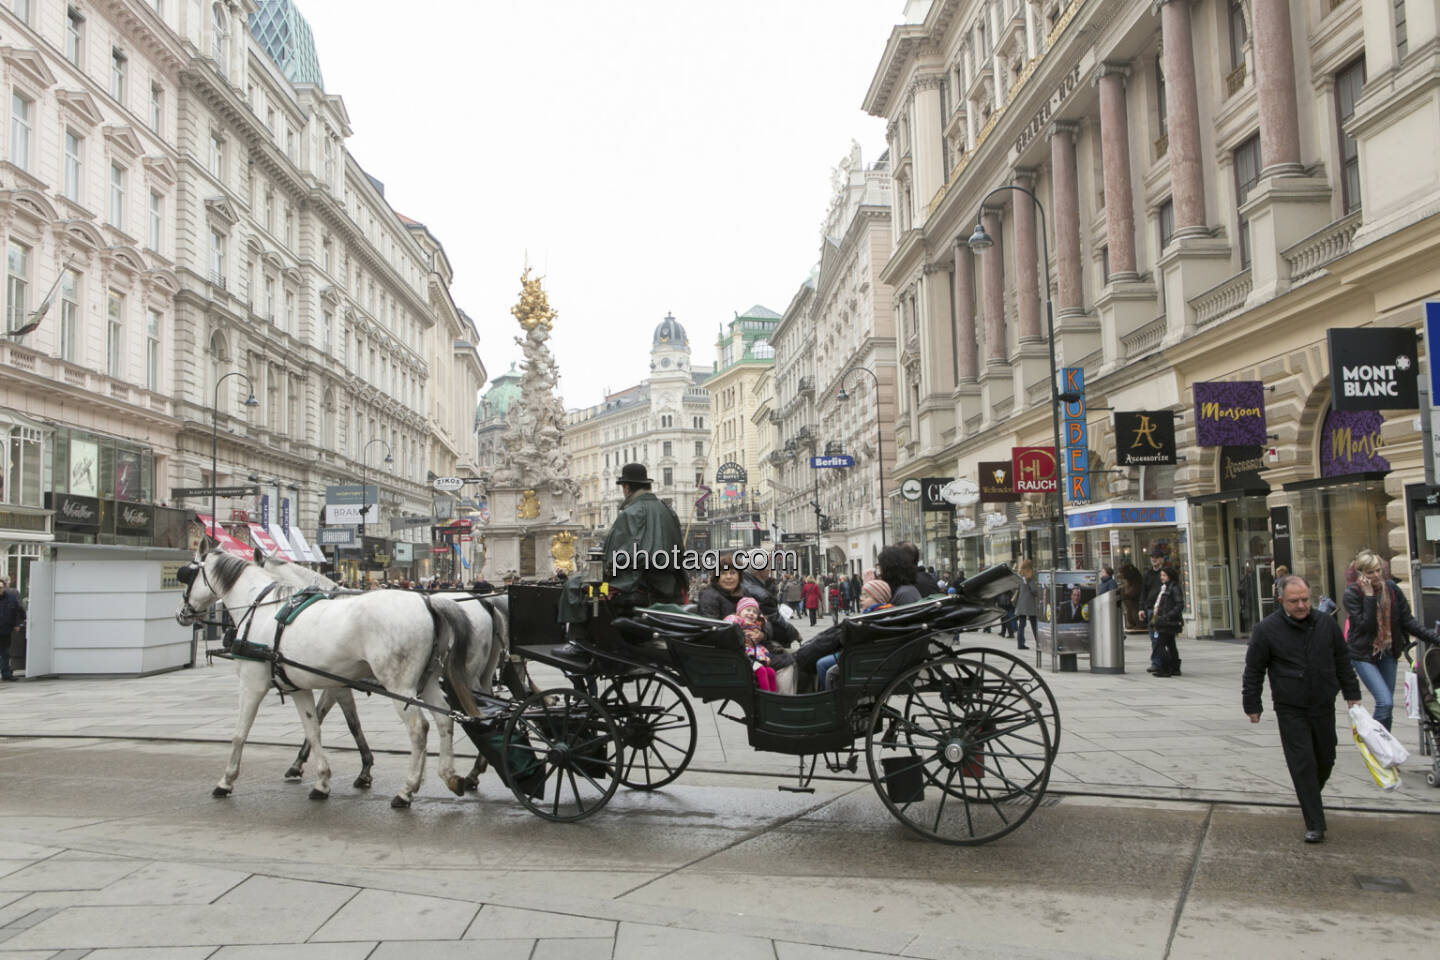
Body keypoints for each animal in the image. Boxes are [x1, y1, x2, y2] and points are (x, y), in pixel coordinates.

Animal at [174, 544, 483, 805]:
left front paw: (226, 781)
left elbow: (240, 733)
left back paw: (407, 790)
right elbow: (316, 729)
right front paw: (322, 781)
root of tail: (427, 602)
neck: (262, 609)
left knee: (419, 728)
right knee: (444, 719)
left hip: (400, 685)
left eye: (187, 574)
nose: (181, 614)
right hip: (427, 680)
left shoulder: (253, 684)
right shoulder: (303, 686)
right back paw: (450, 775)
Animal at [260, 555, 518, 794]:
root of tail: (486, 603)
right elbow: (334, 718)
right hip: (481, 674)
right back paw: (476, 770)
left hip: (462, 675)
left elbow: (342, 721)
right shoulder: (337, 683)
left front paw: (304, 765)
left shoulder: (337, 684)